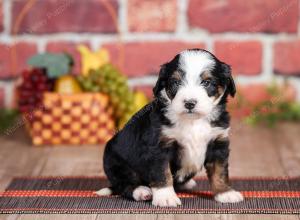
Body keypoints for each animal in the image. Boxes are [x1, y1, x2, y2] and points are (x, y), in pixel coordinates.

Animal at [96, 48, 244, 206]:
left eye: (207, 82)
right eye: (176, 82)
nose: (189, 103)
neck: (193, 121)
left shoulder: (218, 142)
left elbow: (219, 171)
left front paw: (225, 193)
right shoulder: (159, 146)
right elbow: (162, 172)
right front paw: (165, 197)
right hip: (116, 163)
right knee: (124, 184)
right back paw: (141, 191)